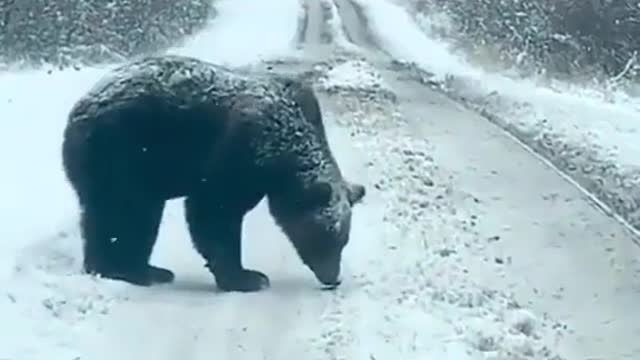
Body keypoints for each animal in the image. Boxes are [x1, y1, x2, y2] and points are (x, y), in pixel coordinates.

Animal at [63, 55, 370, 292]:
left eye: (344, 239)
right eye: (325, 237)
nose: (333, 278)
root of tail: (79, 107)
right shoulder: (240, 152)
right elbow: (214, 209)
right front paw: (247, 277)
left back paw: (140, 268)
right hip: (121, 150)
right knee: (127, 209)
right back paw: (128, 270)